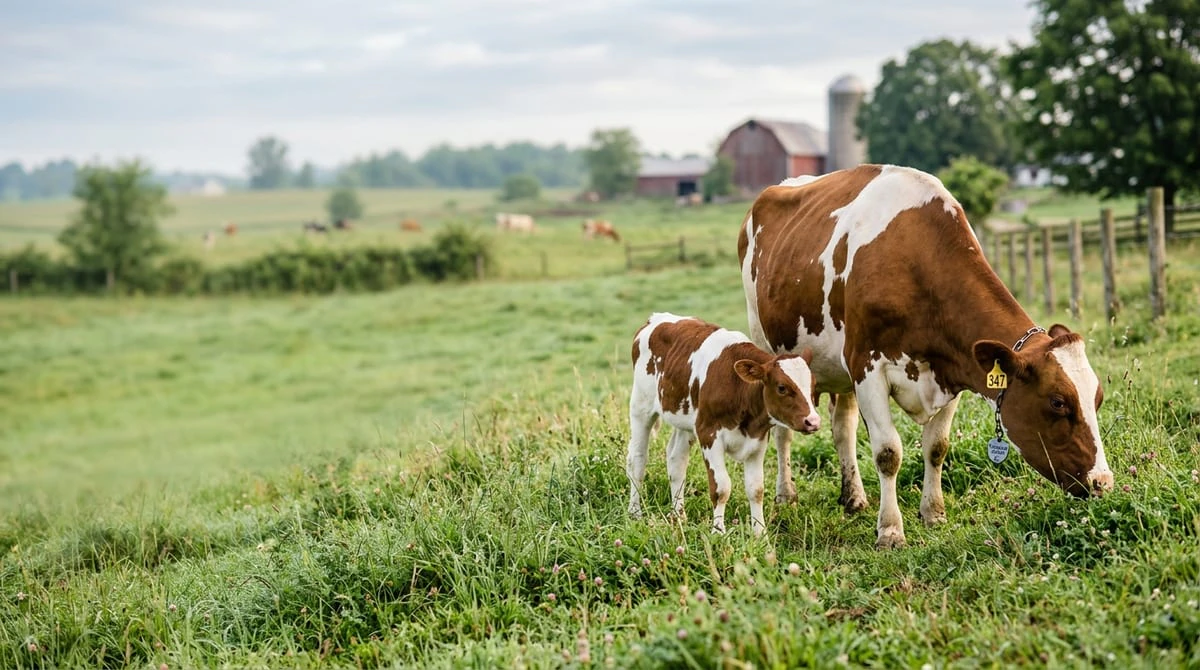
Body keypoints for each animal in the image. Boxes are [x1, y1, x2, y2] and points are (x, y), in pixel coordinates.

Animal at [626, 312, 821, 537]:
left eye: (813, 385)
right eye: (782, 387)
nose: (813, 421)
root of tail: (656, 318)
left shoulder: (758, 440)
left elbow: (756, 489)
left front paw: (760, 534)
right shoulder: (709, 434)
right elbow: (721, 488)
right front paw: (718, 531)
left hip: (685, 420)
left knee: (676, 461)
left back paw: (679, 516)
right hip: (641, 406)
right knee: (637, 460)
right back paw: (635, 513)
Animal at [738, 164, 1113, 550]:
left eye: (1098, 399)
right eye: (1057, 402)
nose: (1103, 481)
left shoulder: (953, 370)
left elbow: (937, 446)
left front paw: (933, 513)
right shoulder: (867, 368)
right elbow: (888, 452)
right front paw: (890, 531)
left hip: (838, 368)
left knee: (843, 426)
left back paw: (854, 496)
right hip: (773, 351)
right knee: (783, 432)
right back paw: (786, 495)